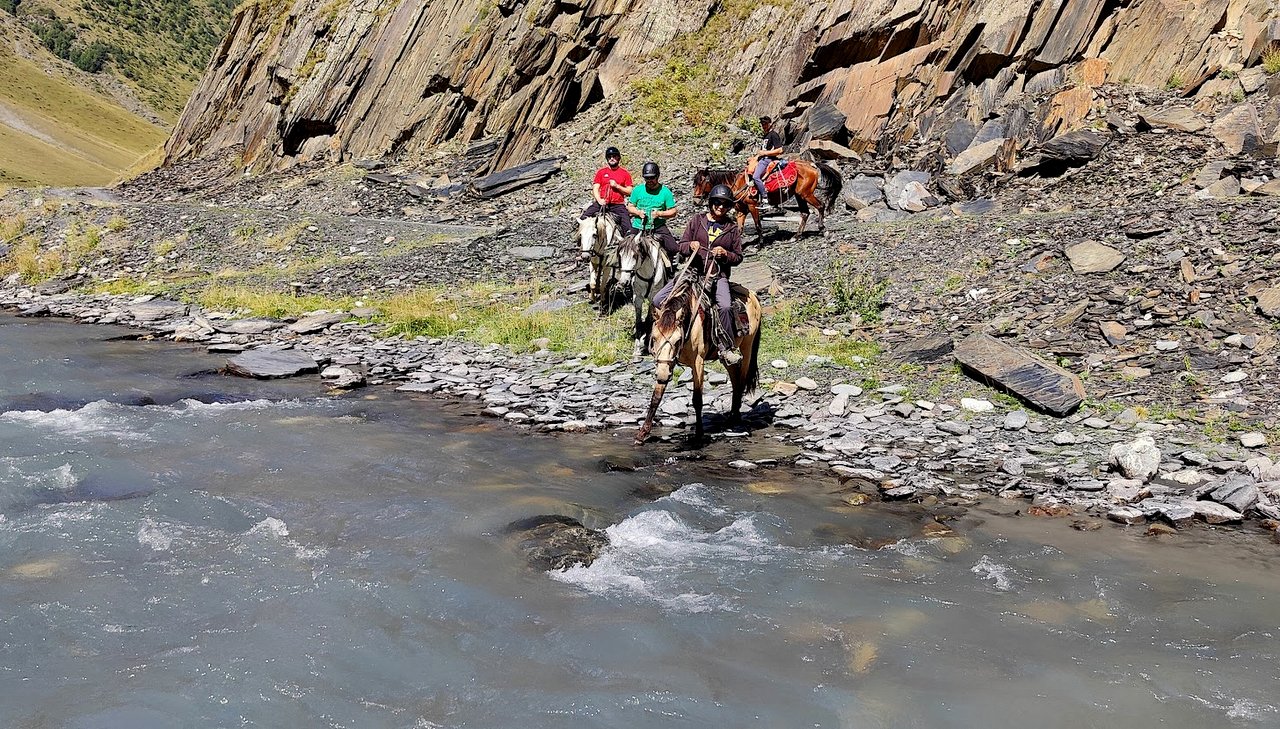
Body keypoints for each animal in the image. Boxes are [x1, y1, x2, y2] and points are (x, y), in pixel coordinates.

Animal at [632, 258, 757, 445]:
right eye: (653, 338)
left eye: (677, 340)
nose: (662, 375)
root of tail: (754, 297)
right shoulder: (666, 363)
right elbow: (656, 397)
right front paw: (642, 434)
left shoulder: (698, 361)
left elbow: (697, 398)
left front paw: (699, 434)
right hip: (725, 357)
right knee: (735, 378)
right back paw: (731, 417)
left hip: (747, 347)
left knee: (741, 380)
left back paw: (735, 418)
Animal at [696, 158, 844, 244]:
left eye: (700, 182)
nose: (696, 201)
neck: (738, 184)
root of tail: (812, 165)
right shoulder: (741, 210)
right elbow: (739, 228)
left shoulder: (752, 206)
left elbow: (758, 225)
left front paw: (760, 244)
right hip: (799, 195)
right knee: (805, 213)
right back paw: (796, 236)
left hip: (806, 194)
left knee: (820, 206)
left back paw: (823, 229)